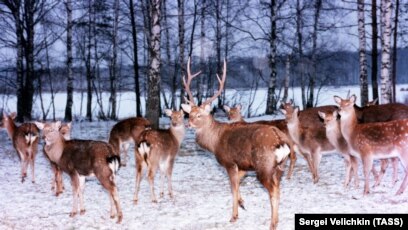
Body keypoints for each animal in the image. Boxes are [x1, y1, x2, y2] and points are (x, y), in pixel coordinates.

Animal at [180, 58, 292, 230]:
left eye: (199, 115)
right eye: (189, 114)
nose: (188, 124)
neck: (215, 142)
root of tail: (280, 141)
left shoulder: (230, 162)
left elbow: (232, 188)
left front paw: (234, 216)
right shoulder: (243, 165)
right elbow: (238, 184)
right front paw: (242, 203)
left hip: (264, 166)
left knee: (273, 191)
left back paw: (272, 224)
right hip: (280, 166)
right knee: (278, 189)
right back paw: (277, 220)